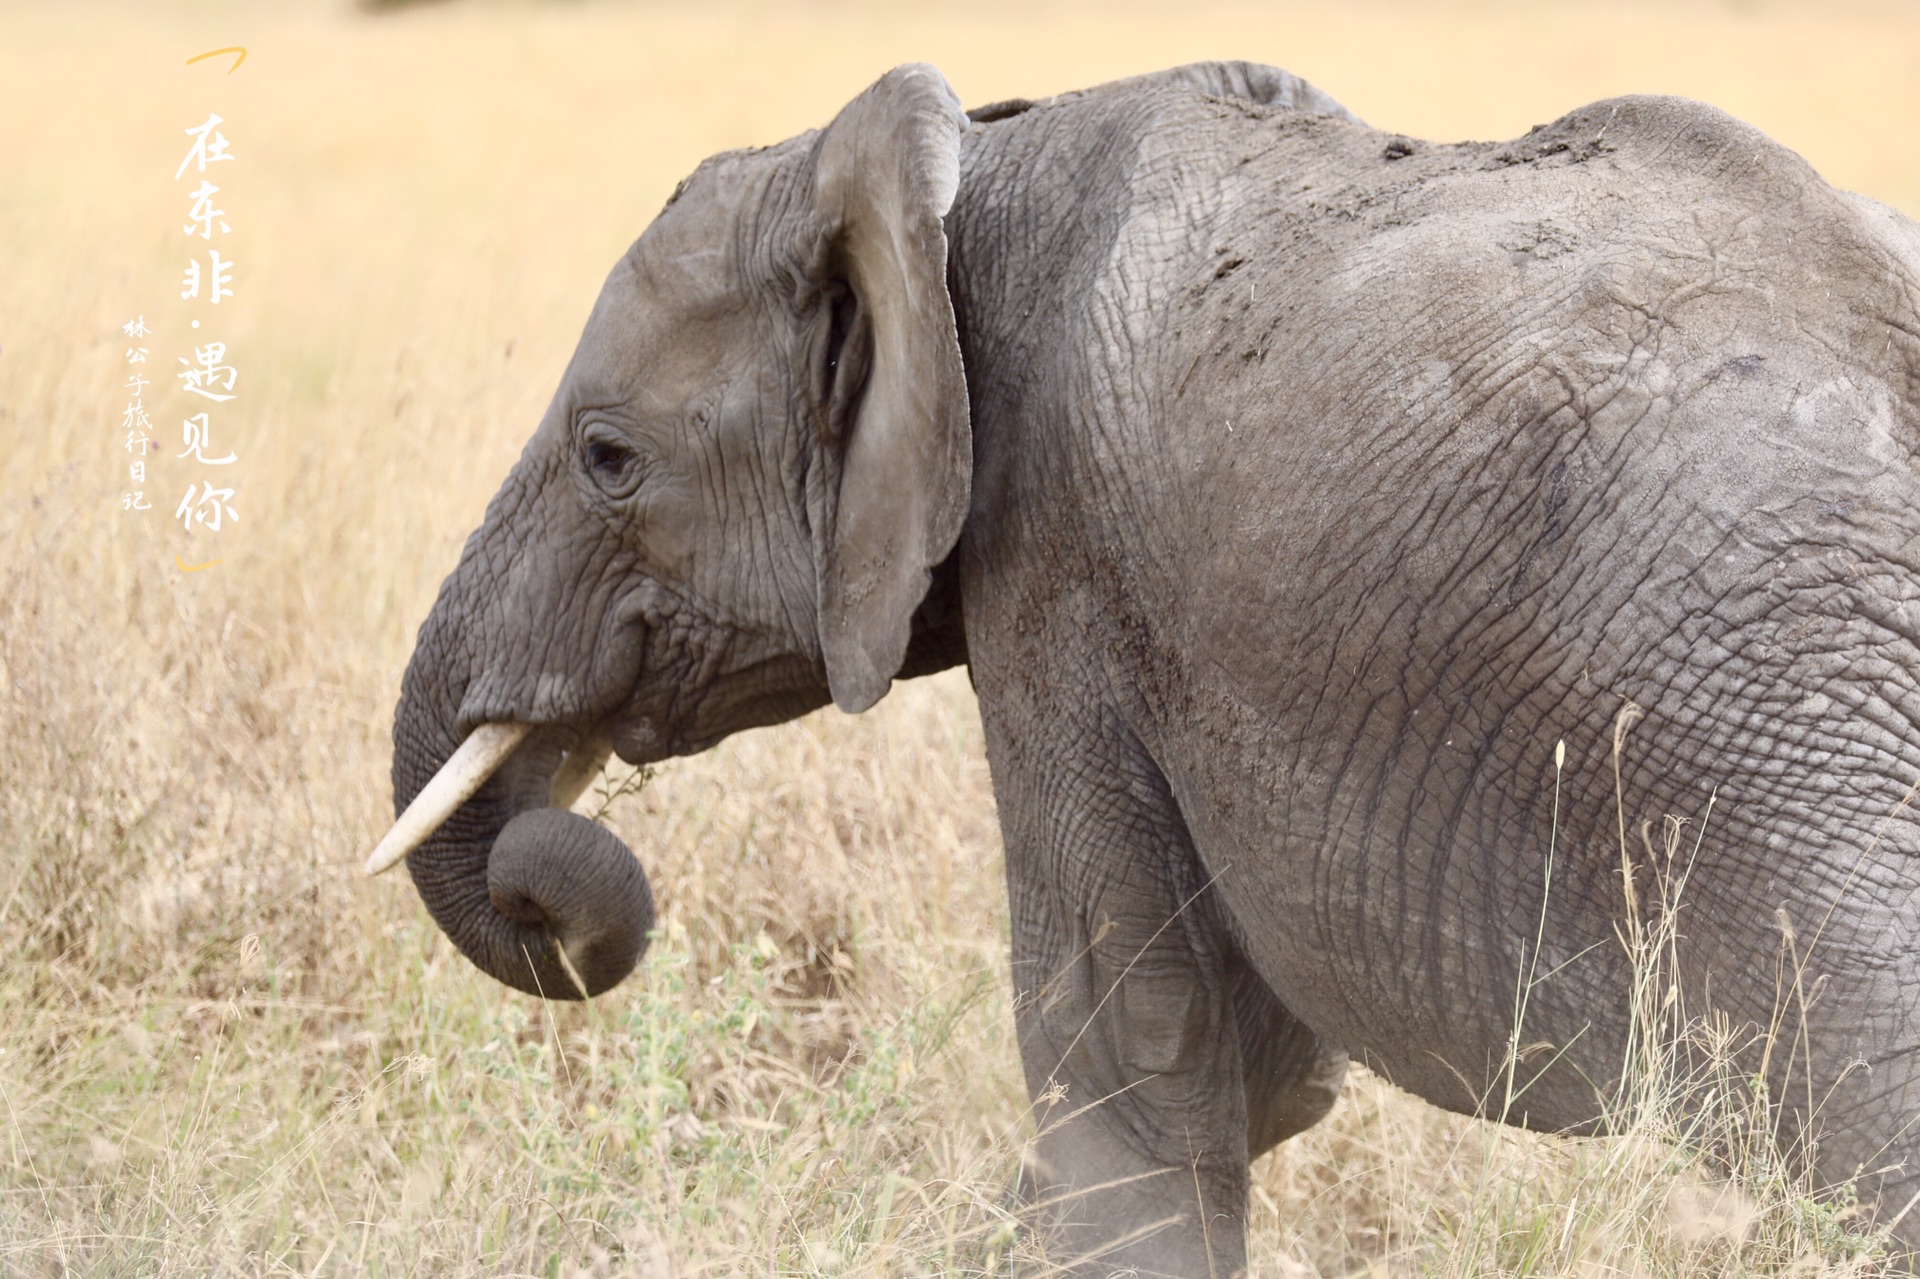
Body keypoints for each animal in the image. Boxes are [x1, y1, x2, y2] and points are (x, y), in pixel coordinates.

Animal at [370, 62, 1920, 1275]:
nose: (550, 874)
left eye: (607, 458)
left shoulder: (1063, 580)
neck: (969, 178)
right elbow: (1260, 1070)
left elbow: (1130, 1053)